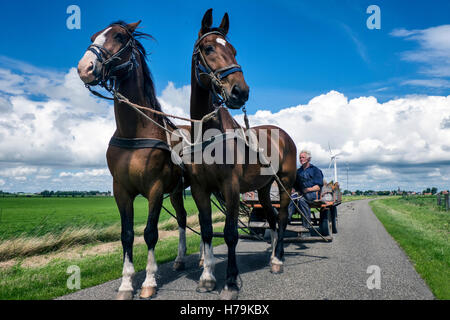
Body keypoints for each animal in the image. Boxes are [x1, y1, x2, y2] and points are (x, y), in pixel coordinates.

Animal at [77, 20, 188, 300]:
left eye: (118, 36)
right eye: (93, 37)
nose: (84, 68)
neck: (135, 133)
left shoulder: (155, 189)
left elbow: (150, 233)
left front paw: (149, 281)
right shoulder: (121, 190)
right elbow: (127, 235)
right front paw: (126, 284)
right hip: (177, 191)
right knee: (182, 217)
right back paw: (181, 259)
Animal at [186, 10, 298, 300]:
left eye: (234, 50)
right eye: (209, 48)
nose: (241, 91)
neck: (209, 136)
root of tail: (284, 135)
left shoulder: (231, 187)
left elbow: (230, 234)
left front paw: (230, 282)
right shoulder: (200, 189)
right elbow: (206, 231)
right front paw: (207, 278)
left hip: (285, 183)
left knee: (282, 218)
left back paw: (278, 259)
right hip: (264, 188)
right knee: (272, 218)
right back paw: (273, 257)